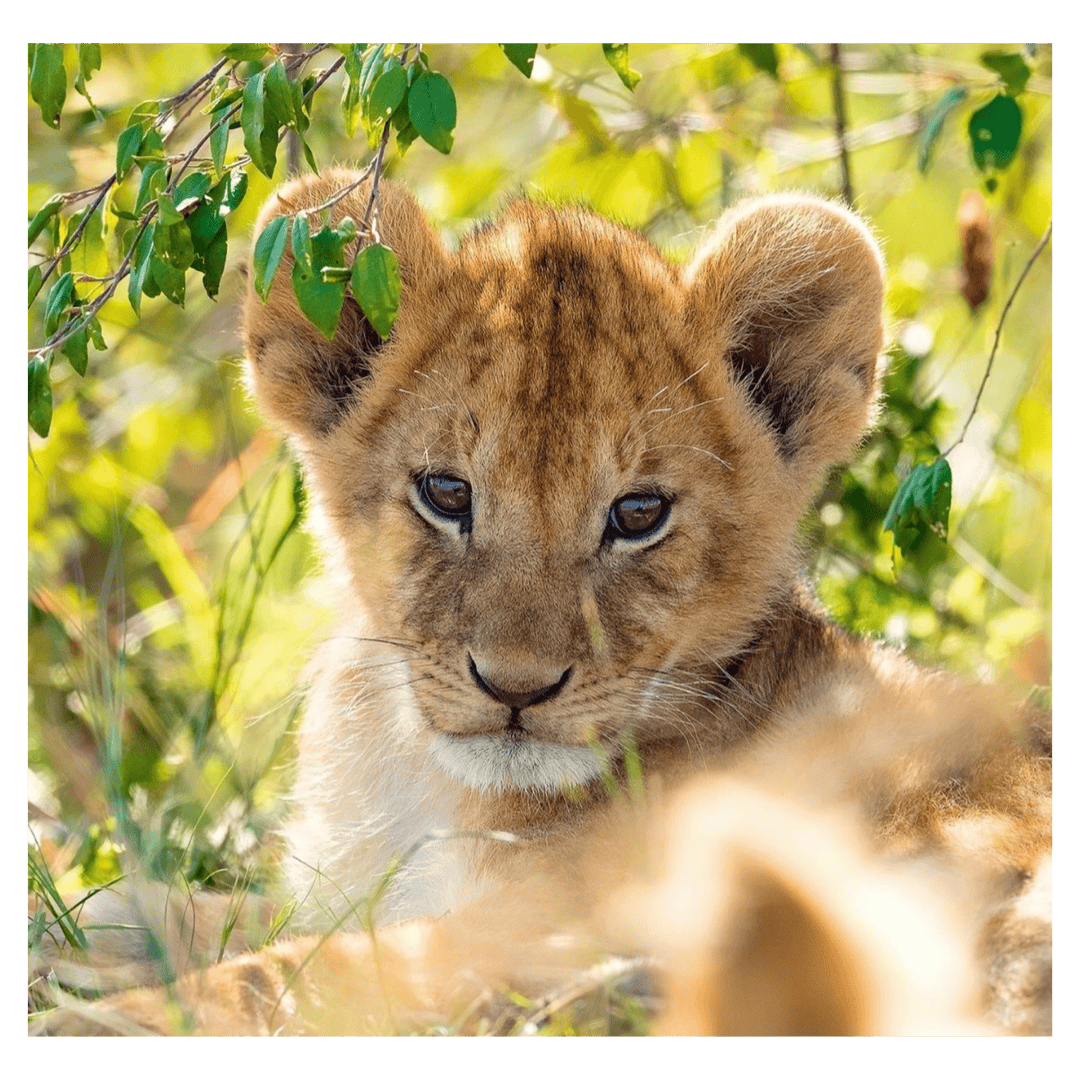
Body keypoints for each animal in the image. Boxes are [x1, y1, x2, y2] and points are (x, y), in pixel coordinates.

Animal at [30, 171, 1052, 1036]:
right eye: (446, 492)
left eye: (638, 514)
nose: (515, 689)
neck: (412, 772)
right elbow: (226, 915)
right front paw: (77, 922)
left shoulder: (534, 936)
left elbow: (296, 974)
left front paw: (88, 1020)